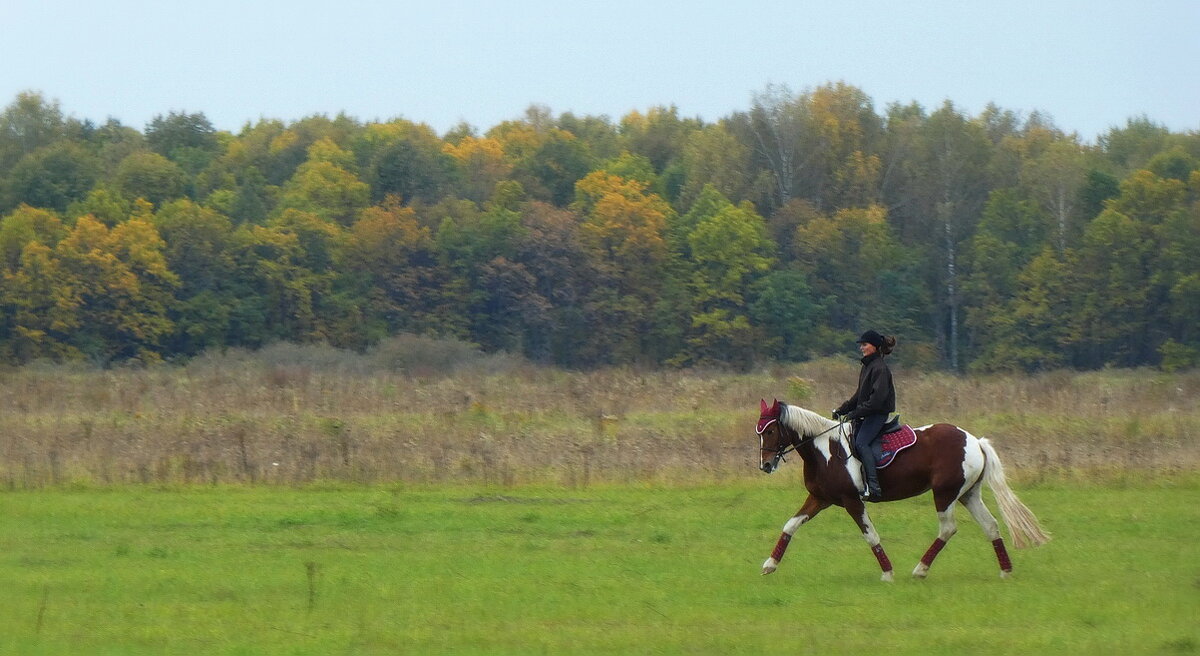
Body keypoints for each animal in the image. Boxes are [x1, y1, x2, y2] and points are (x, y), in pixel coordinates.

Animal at [758, 398, 1051, 582]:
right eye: (758, 432)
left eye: (771, 431)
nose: (765, 465)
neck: (824, 450)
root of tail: (974, 441)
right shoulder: (820, 498)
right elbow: (790, 526)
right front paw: (769, 565)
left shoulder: (853, 501)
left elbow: (871, 535)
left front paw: (888, 573)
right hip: (968, 494)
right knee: (990, 526)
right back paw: (1006, 571)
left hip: (944, 494)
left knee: (948, 529)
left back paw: (920, 570)